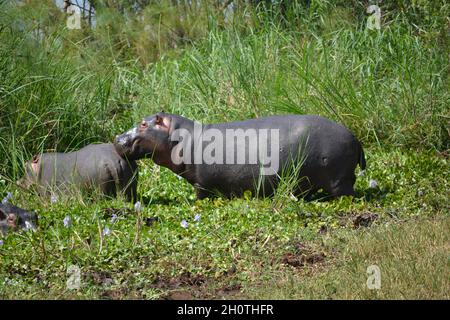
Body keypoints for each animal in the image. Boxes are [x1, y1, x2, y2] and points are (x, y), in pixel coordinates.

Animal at [113, 111, 366, 199]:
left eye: (143, 124)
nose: (117, 139)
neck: (182, 136)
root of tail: (355, 138)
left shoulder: (201, 183)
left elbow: (200, 196)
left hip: (339, 179)